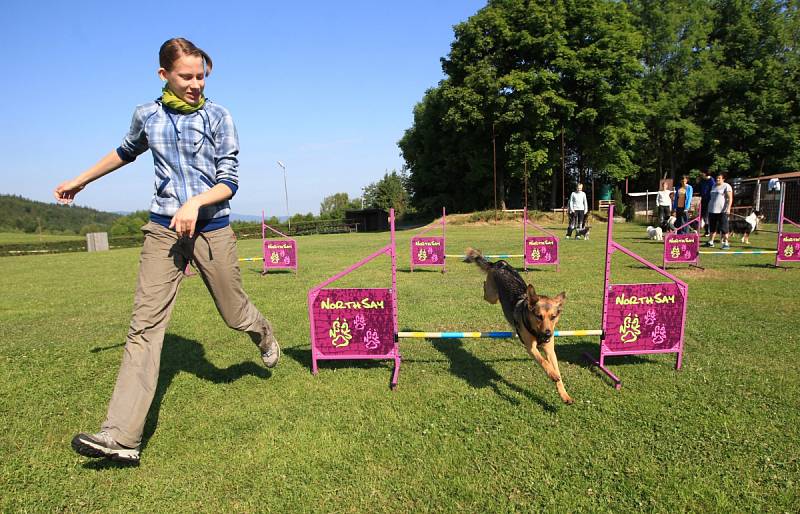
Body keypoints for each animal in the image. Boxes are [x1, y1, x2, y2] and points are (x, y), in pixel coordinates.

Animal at [466, 246, 572, 402]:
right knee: (485, 289)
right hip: (491, 296)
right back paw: (483, 284)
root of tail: (500, 263)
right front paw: (552, 374)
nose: (548, 334)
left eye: (553, 317)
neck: (536, 331)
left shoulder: (550, 350)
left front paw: (564, 394)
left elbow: (554, 367)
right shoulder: (531, 347)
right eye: (539, 316)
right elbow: (543, 361)